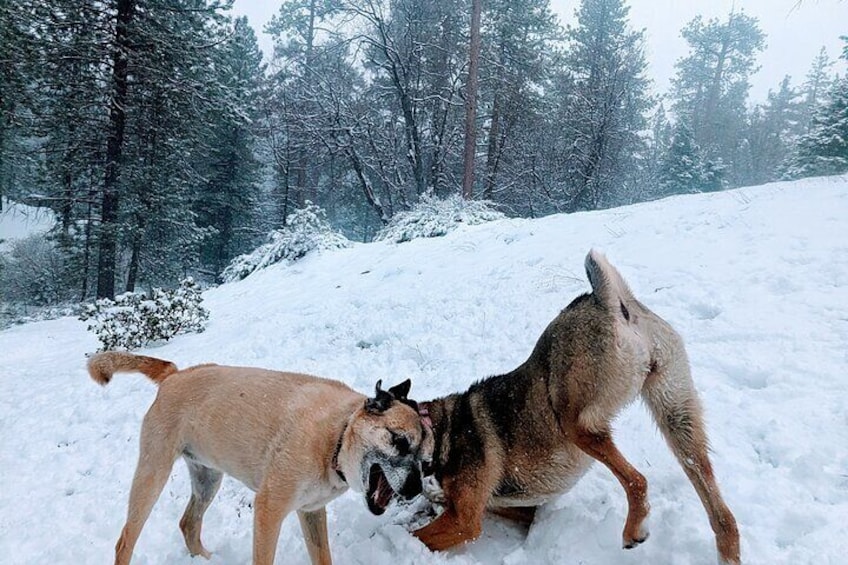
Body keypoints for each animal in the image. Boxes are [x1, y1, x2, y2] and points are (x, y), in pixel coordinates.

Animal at [88, 352, 430, 564]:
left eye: (425, 460)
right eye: (399, 441)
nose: (415, 490)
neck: (336, 436)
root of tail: (174, 374)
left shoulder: (311, 512)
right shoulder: (269, 509)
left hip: (207, 478)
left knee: (188, 524)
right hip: (152, 474)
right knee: (125, 541)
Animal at [414, 251, 740, 564]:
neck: (440, 429)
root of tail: (605, 300)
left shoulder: (464, 520)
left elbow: (416, 536)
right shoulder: (513, 508)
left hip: (577, 424)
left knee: (637, 480)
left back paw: (633, 528)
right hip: (677, 417)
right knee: (719, 508)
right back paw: (727, 552)